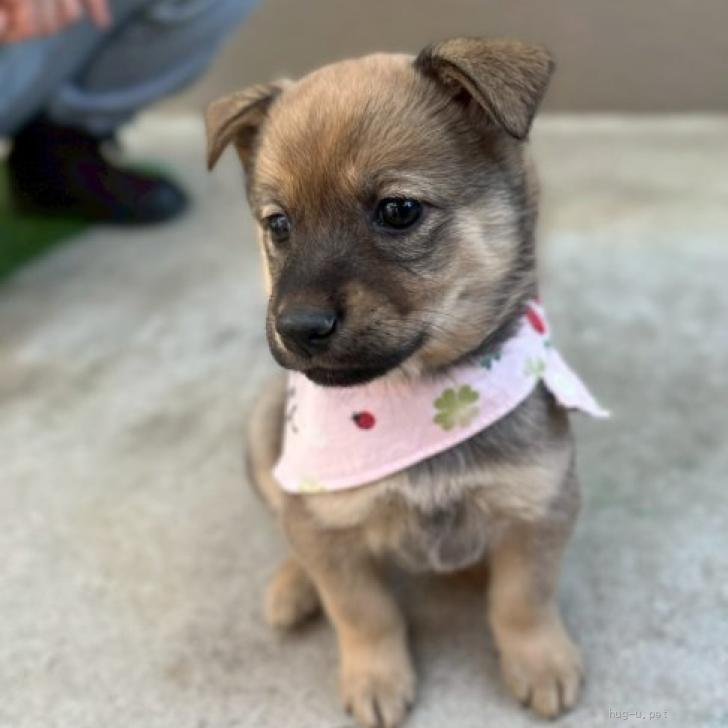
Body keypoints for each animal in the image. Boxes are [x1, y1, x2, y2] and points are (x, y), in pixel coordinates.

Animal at [205, 38, 606, 728]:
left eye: (398, 210)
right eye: (278, 225)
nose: (297, 327)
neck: (421, 405)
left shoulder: (538, 503)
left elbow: (522, 599)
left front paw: (541, 662)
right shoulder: (330, 528)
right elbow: (364, 612)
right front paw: (376, 678)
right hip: (265, 437)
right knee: (287, 520)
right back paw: (293, 584)